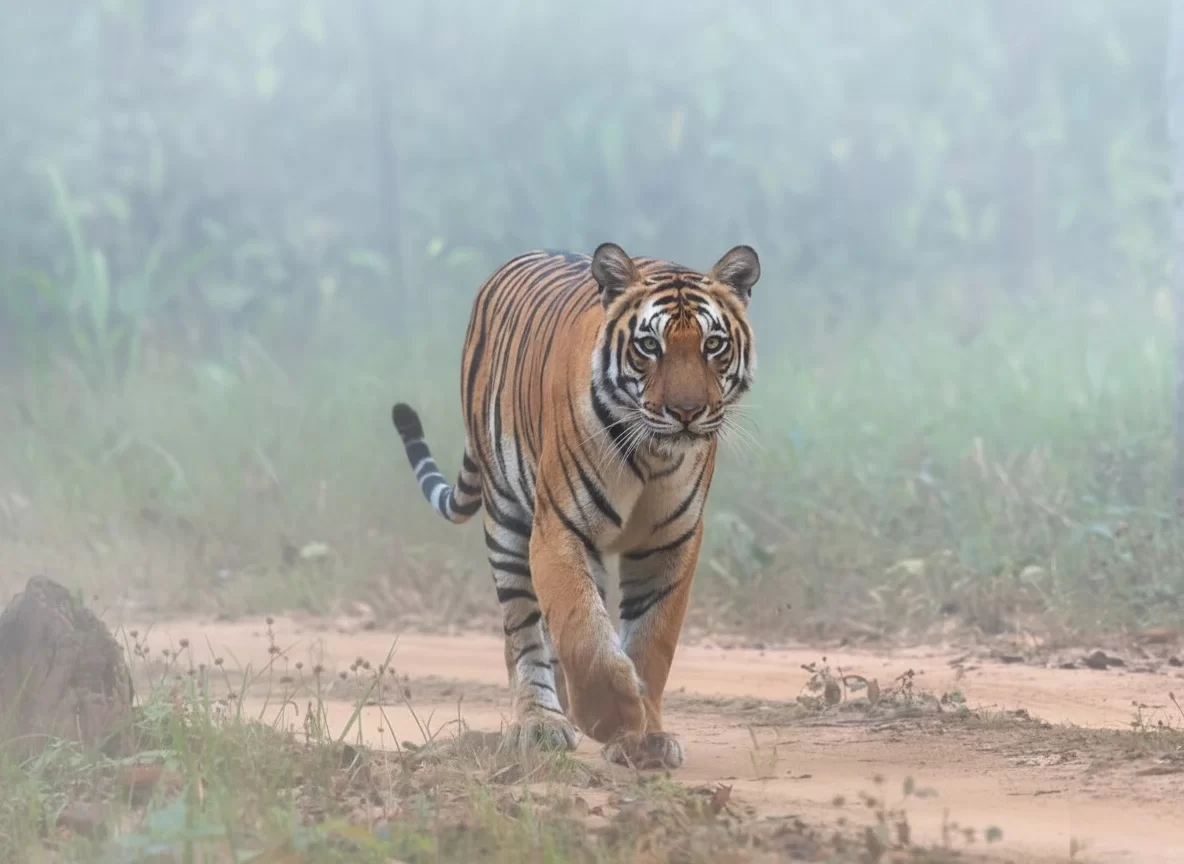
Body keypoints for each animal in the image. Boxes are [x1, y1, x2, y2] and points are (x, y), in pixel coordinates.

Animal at [390, 241, 760, 769]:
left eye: (713, 345)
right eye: (650, 346)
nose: (686, 413)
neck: (653, 454)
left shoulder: (672, 542)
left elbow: (651, 642)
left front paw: (645, 737)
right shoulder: (559, 528)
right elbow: (582, 630)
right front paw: (612, 716)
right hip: (507, 522)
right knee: (524, 633)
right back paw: (541, 722)